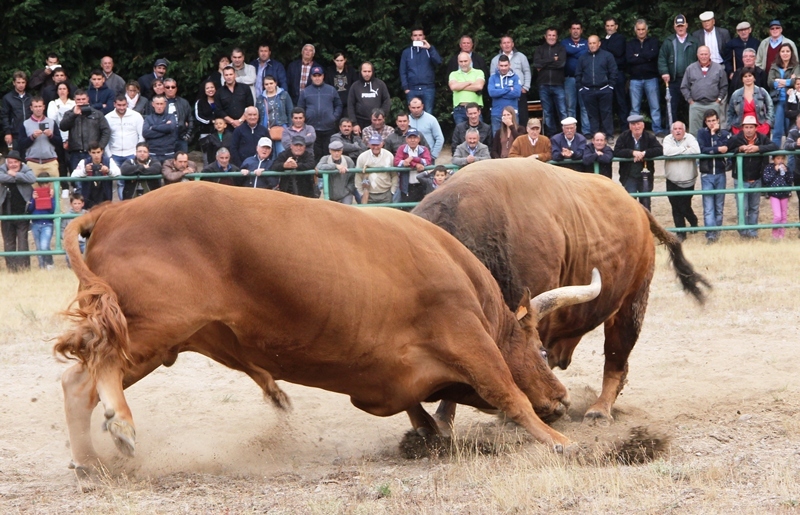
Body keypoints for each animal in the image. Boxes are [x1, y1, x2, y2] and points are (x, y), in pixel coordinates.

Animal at [53, 181, 600, 472]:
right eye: (541, 351)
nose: (561, 398)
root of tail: (116, 208)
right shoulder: (469, 339)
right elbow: (508, 392)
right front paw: (561, 443)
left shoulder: (393, 379)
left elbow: (418, 407)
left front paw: (427, 434)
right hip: (149, 325)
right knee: (89, 369)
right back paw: (121, 426)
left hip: (159, 341)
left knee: (79, 383)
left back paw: (89, 462)